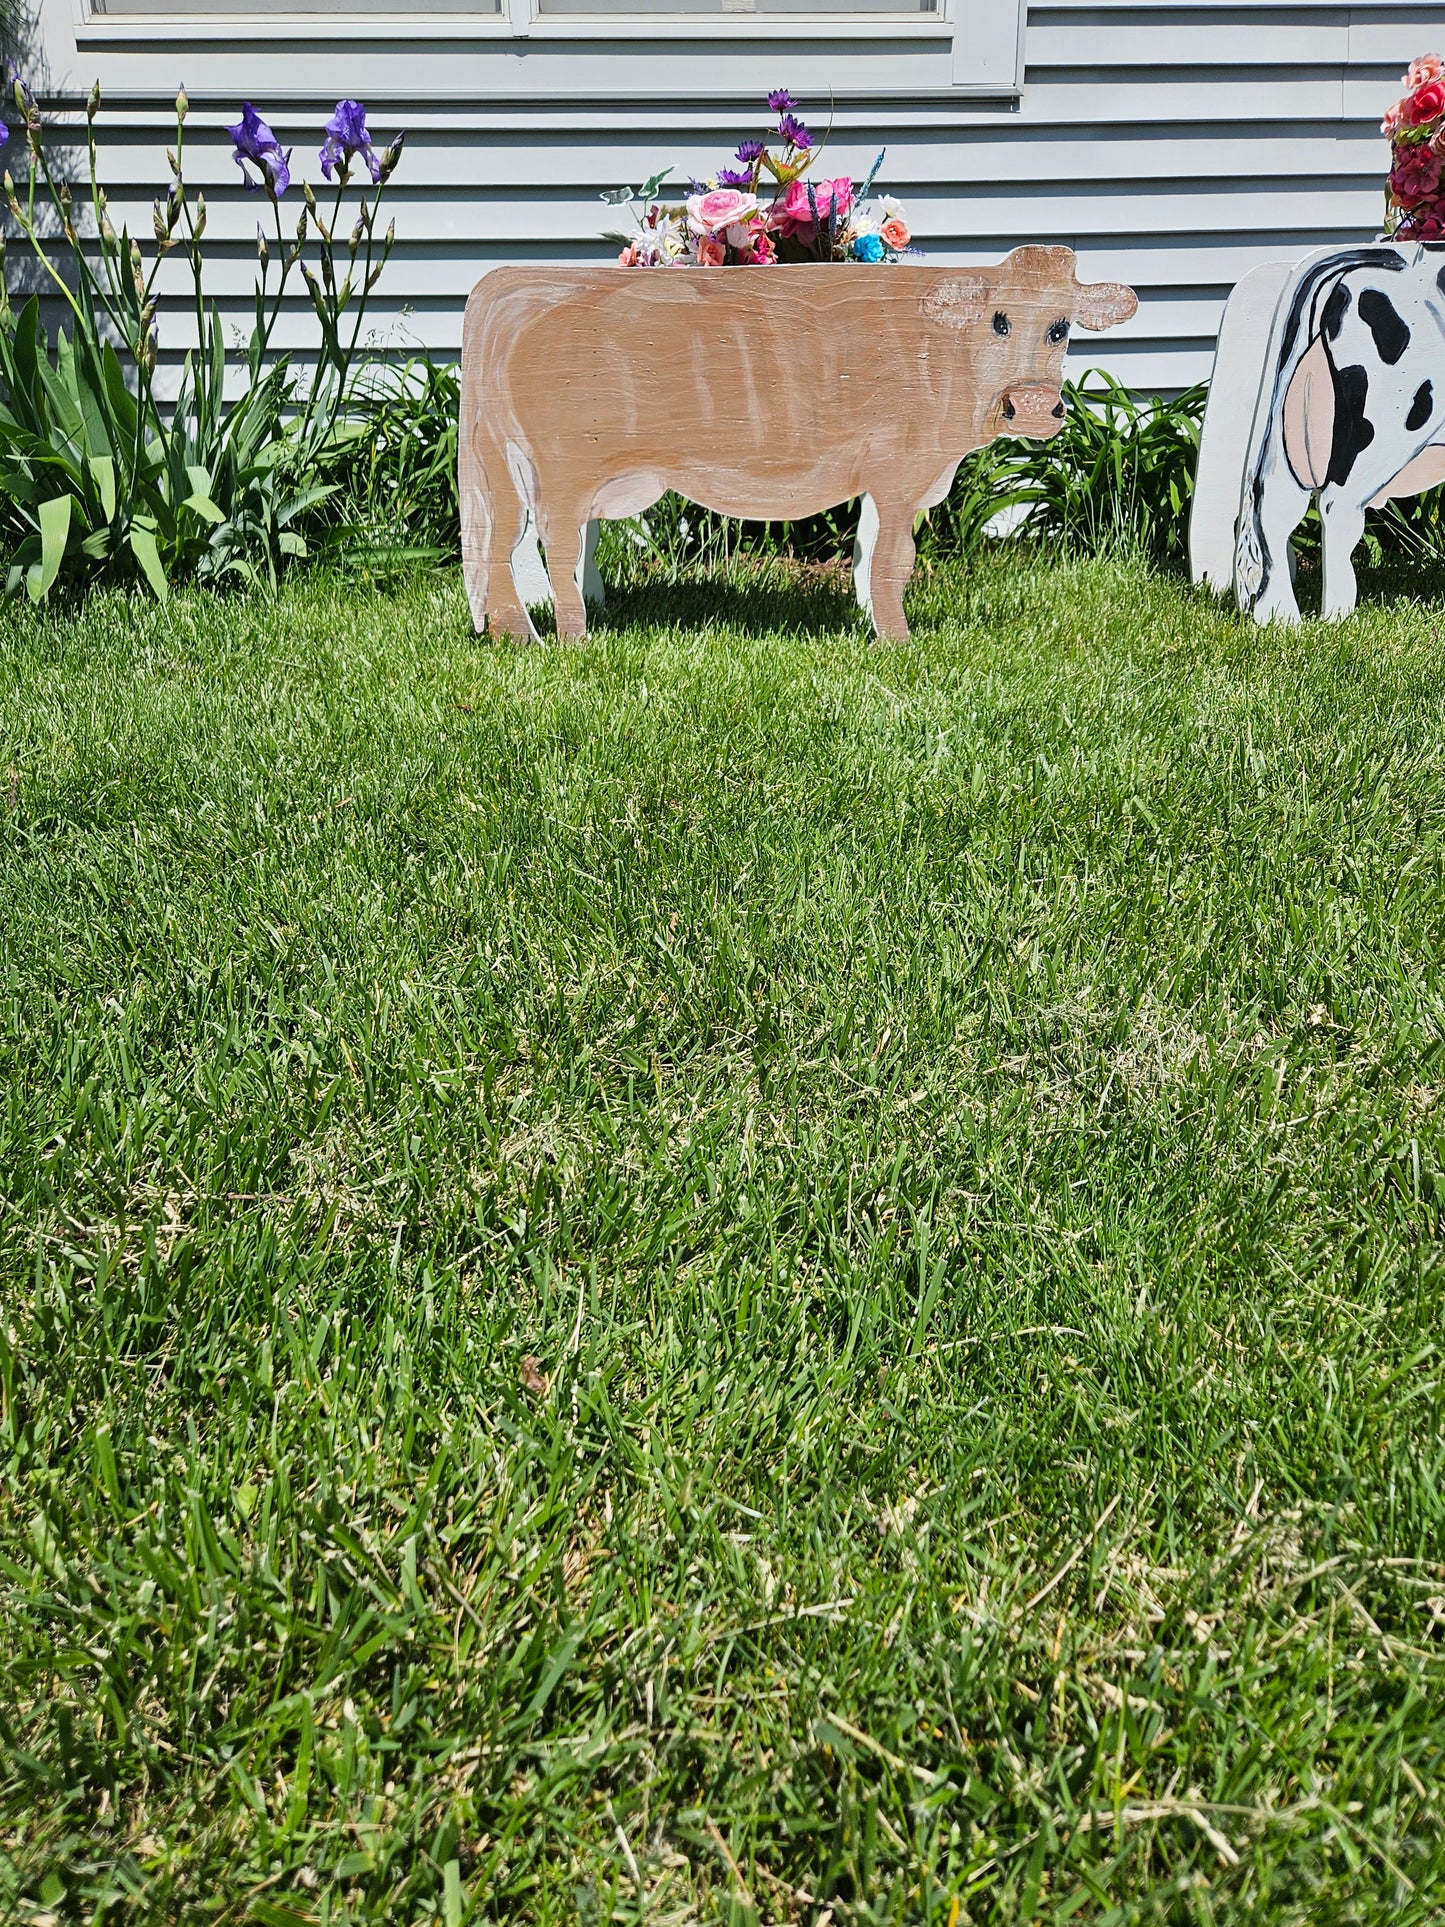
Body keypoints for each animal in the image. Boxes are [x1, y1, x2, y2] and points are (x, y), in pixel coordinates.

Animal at [458, 244, 1140, 639]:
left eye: (1062, 327)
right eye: (998, 320)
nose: (1032, 407)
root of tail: (521, 283)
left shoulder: (885, 476)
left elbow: (866, 553)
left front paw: (867, 620)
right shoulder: (901, 471)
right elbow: (894, 560)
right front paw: (898, 640)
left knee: (517, 545)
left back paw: (528, 629)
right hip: (562, 468)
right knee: (544, 547)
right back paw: (564, 638)